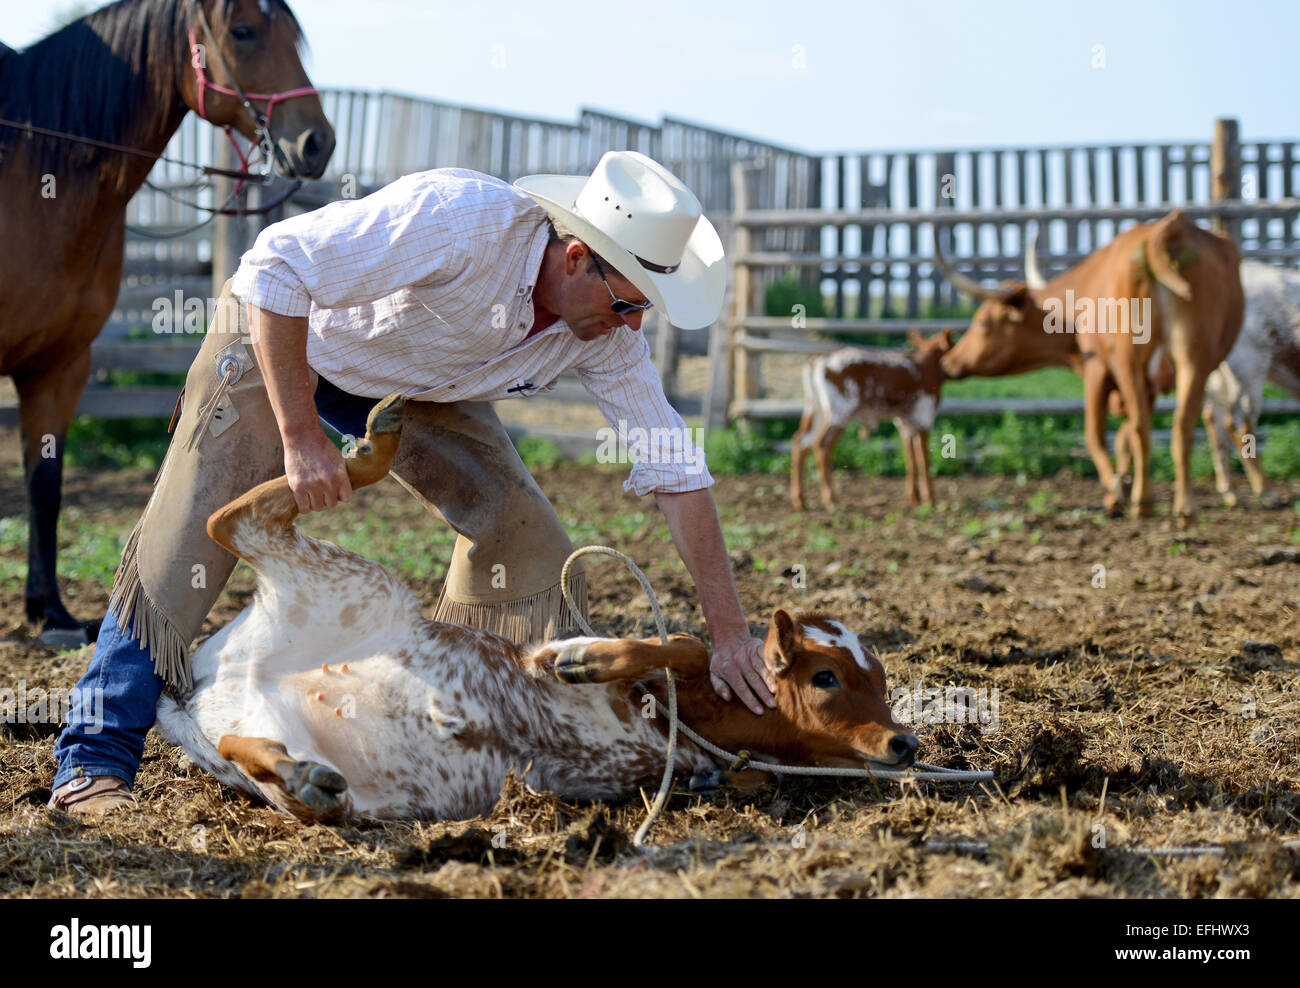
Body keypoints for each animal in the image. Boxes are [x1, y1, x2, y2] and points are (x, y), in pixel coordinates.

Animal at [2, 0, 335, 647]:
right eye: (242, 31)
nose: (316, 142)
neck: (37, 173)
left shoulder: (60, 365)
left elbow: (45, 484)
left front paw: (49, 611)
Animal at [157, 397, 920, 821]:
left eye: (882, 680)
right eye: (826, 677)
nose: (905, 743)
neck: (690, 719)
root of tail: (206, 679)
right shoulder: (558, 659)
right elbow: (684, 645)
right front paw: (589, 658)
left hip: (290, 745)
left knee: (254, 754)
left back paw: (302, 775)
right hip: (363, 581)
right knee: (229, 521)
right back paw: (376, 442)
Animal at [785, 330, 951, 509]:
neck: (927, 365)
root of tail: (822, 357)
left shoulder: (905, 422)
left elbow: (911, 457)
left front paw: (914, 498)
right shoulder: (924, 416)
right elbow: (924, 458)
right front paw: (929, 498)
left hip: (816, 410)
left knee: (800, 442)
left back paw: (799, 499)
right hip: (839, 412)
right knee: (822, 444)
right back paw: (830, 498)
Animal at [930, 211, 1242, 525]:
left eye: (982, 322)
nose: (948, 362)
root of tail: (1168, 230)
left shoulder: (1097, 371)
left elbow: (1096, 435)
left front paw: (1115, 492)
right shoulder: (1150, 384)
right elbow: (1124, 437)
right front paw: (1121, 482)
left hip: (1131, 360)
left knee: (1142, 426)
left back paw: (1144, 502)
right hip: (1195, 364)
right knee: (1180, 425)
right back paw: (1184, 506)